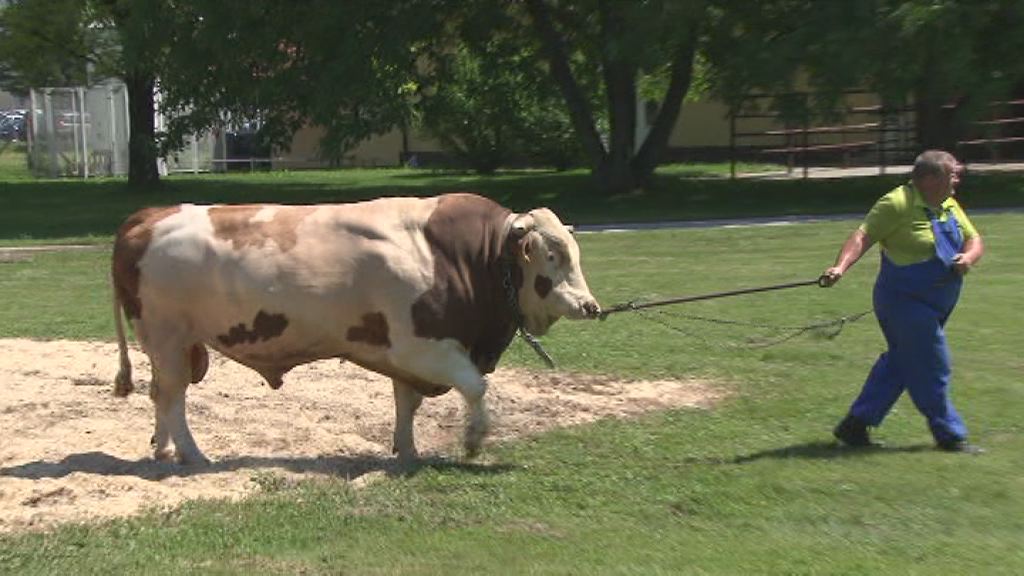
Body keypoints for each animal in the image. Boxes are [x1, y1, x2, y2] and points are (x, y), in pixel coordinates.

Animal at [112, 191, 598, 461]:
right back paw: (192, 453)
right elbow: (475, 386)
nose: (590, 306)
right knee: (172, 397)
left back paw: (165, 448)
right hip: (169, 340)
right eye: (552, 255)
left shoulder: (412, 357)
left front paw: (408, 451)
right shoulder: (422, 347)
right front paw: (475, 438)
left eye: (574, 252)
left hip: (175, 347)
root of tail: (149, 216)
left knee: (161, 395)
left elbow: (407, 403)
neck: (461, 256)